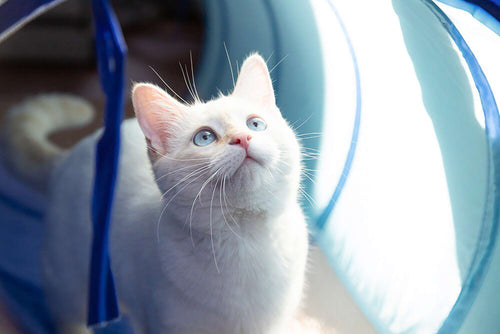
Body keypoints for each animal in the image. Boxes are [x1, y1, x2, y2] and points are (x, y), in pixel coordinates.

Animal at [7, 53, 308, 332]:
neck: (245, 237)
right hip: (71, 283)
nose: (242, 138)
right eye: (204, 138)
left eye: (255, 124)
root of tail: (72, 153)